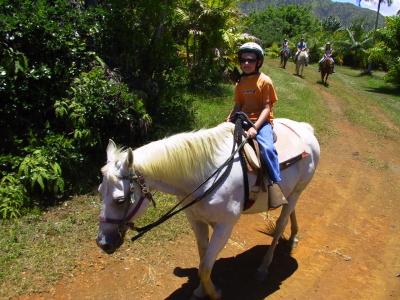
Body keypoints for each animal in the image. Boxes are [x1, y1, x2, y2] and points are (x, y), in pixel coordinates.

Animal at [96, 118, 318, 298]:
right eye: (99, 191)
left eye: (120, 200)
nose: (102, 243)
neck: (206, 174)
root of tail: (305, 129)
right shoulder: (197, 220)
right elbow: (203, 259)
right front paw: (202, 290)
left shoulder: (224, 227)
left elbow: (204, 267)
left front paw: (214, 293)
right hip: (291, 193)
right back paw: (293, 238)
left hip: (298, 191)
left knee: (280, 224)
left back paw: (264, 267)